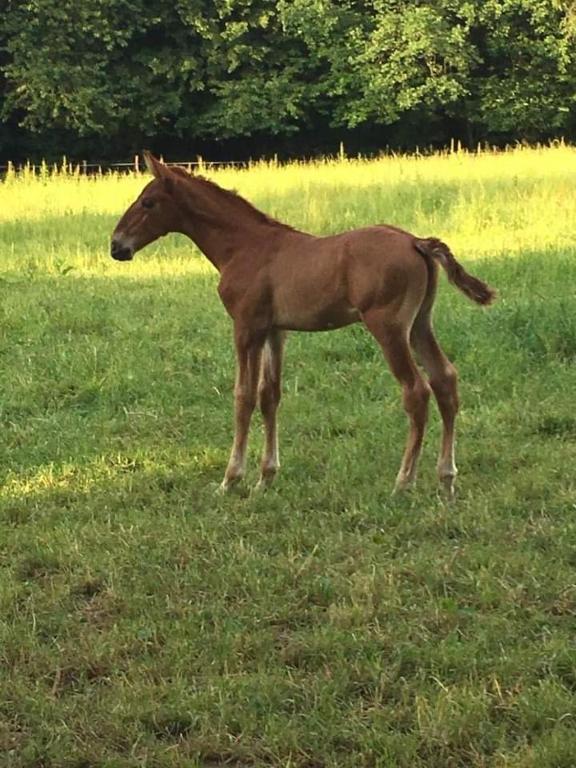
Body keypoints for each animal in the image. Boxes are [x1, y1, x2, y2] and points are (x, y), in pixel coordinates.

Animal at [111, 152, 495, 497]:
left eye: (147, 202)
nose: (116, 246)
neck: (243, 247)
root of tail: (417, 242)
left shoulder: (246, 328)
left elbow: (243, 396)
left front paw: (230, 479)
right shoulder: (275, 331)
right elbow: (270, 395)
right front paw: (266, 478)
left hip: (388, 328)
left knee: (416, 391)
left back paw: (404, 481)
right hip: (419, 324)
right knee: (445, 379)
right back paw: (446, 478)